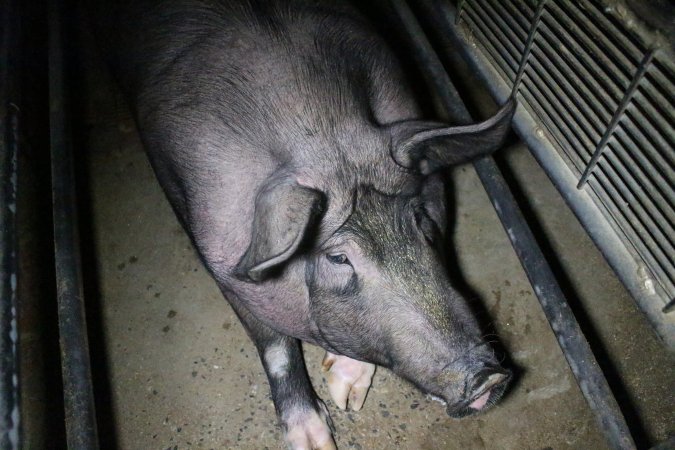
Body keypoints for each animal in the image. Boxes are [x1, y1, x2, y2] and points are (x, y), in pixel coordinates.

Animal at [91, 1, 516, 448]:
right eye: (338, 258)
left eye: (420, 221)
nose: (488, 378)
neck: (320, 128)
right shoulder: (219, 255)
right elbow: (275, 344)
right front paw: (318, 440)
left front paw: (345, 394)